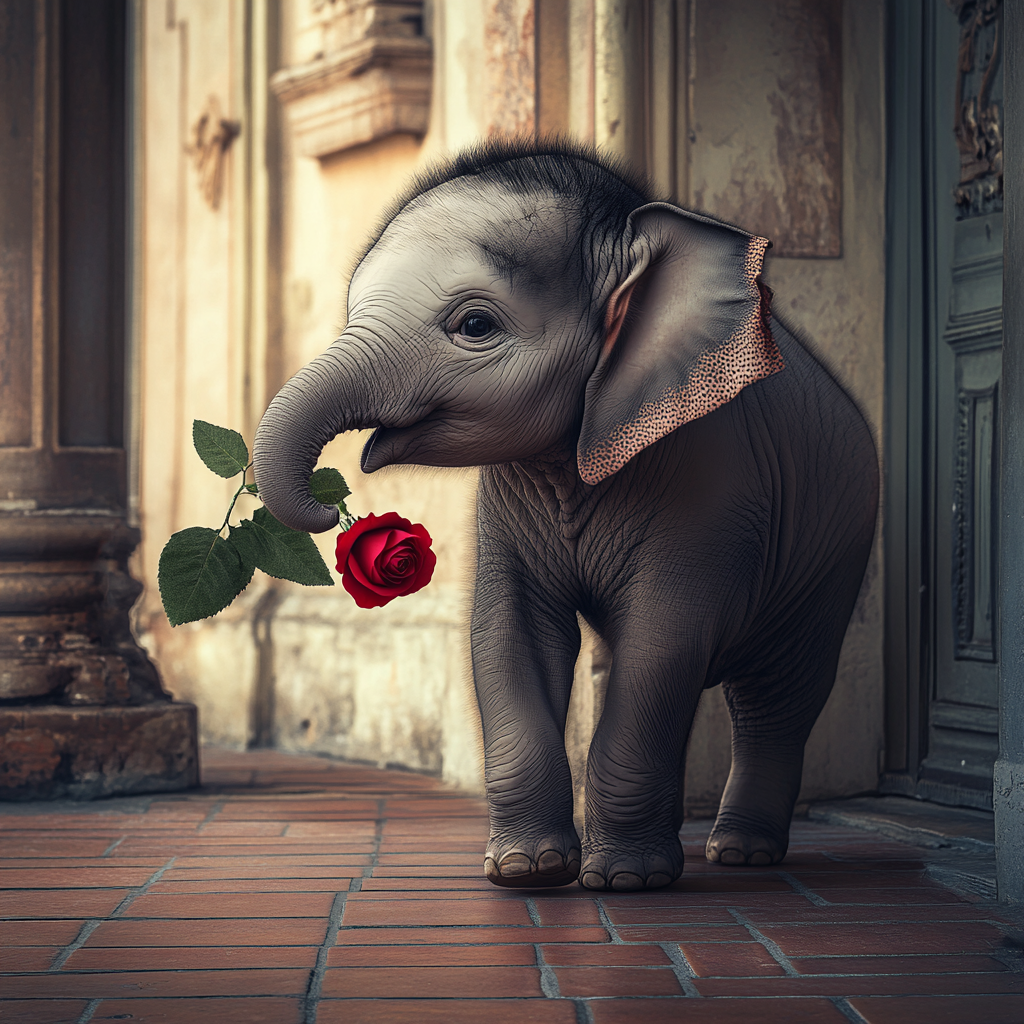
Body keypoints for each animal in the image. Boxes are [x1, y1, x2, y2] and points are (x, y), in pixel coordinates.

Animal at [253, 139, 879, 892]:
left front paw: (627, 881)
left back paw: (742, 854)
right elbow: (507, 634)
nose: (333, 505)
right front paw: (526, 871)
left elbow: (661, 645)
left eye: (475, 325)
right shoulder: (506, 504)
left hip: (838, 552)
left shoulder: (713, 487)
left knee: (778, 696)